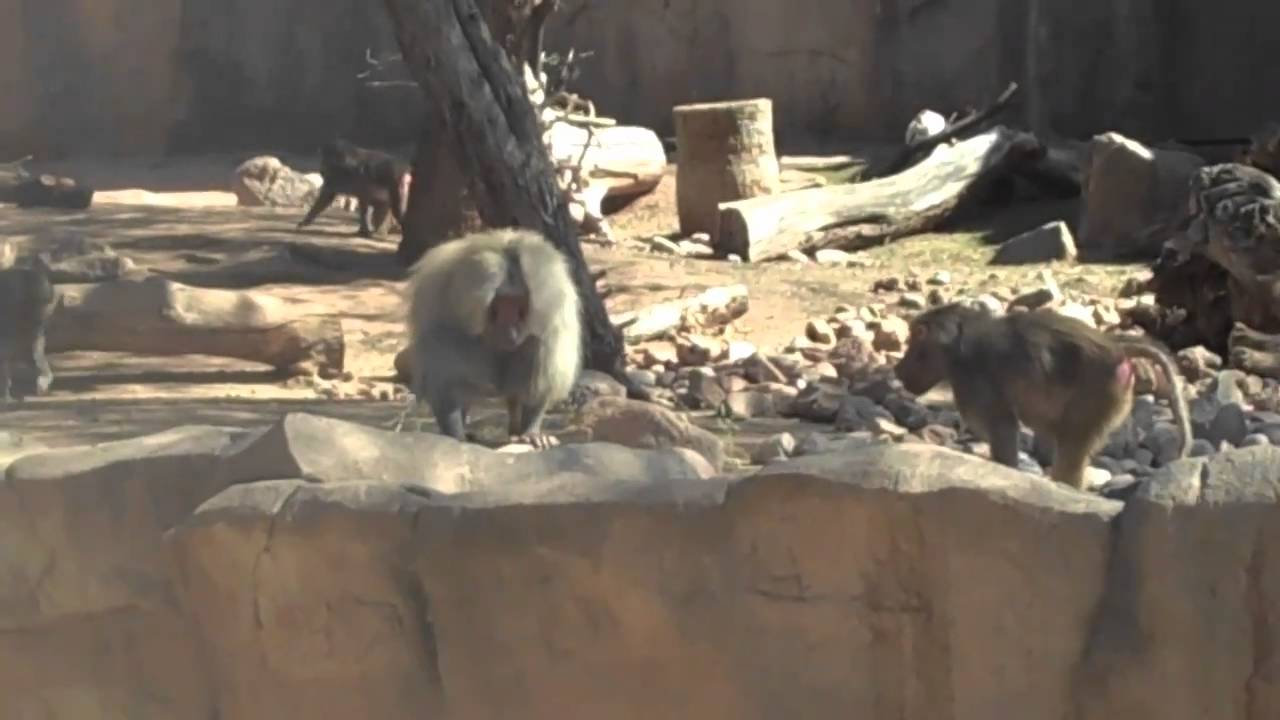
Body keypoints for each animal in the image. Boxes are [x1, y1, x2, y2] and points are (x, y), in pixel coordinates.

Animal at [0, 254, 58, 402]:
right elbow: (6, 348)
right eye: (39, 302)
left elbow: (30, 348)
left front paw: (44, 378)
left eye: (46, 303)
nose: (41, 315)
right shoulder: (11, 305)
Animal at [400, 228, 583, 449]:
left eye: (520, 307)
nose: (510, 333)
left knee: (534, 346)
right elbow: (445, 378)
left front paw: (531, 433)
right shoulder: (439, 304)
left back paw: (519, 430)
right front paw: (455, 434)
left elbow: (544, 365)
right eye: (499, 305)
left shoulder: (553, 311)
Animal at [893, 302, 1191, 490]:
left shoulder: (974, 380)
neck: (954, 345)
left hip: (1098, 391)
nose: (897, 369)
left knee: (1072, 444)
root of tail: (1117, 348)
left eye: (914, 341)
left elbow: (1004, 430)